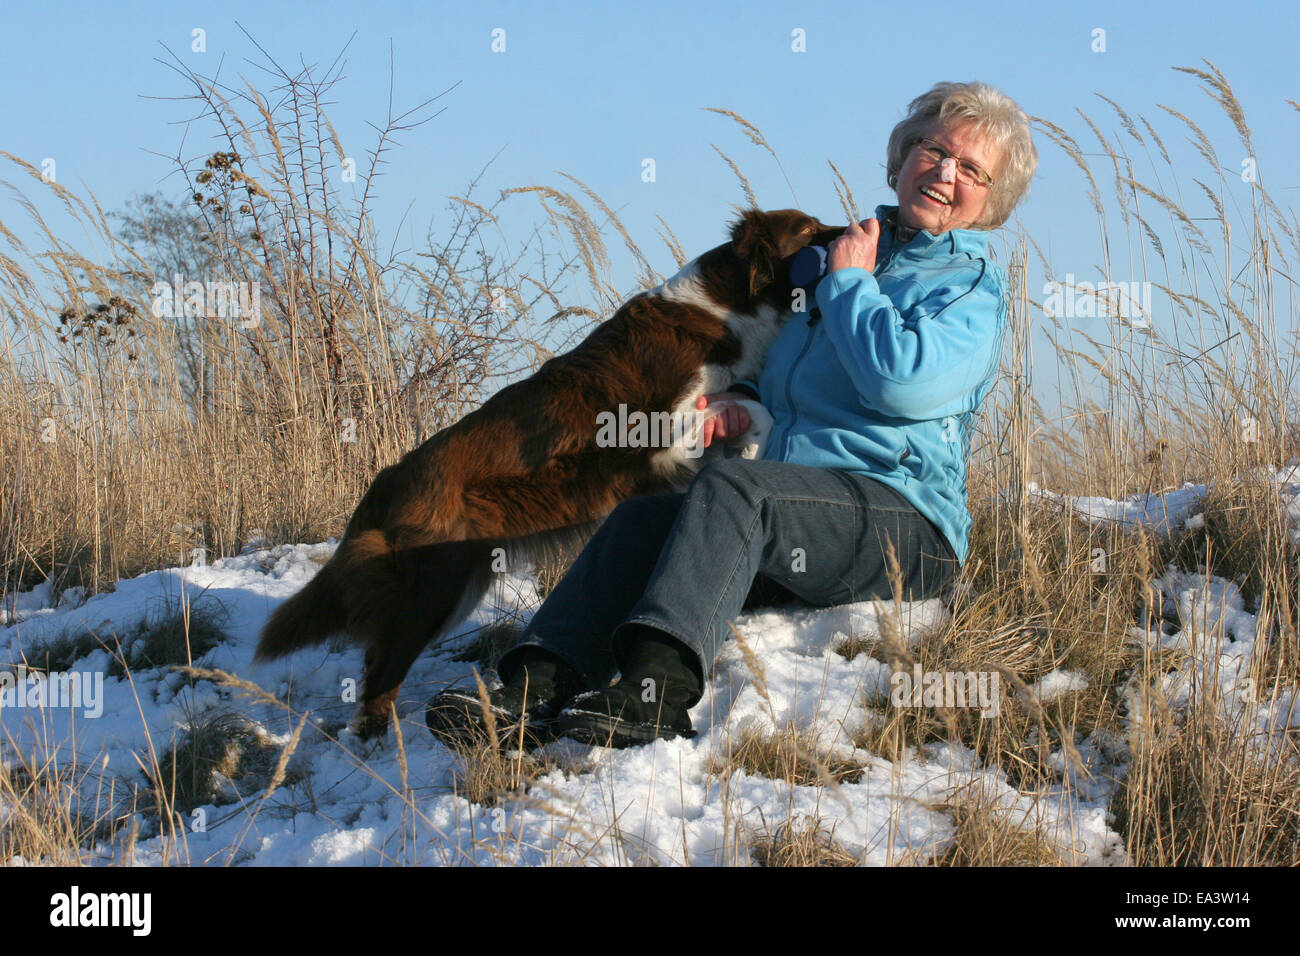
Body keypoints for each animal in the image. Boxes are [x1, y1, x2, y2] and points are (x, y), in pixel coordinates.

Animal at [253, 205, 842, 738]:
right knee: (380, 673)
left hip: (456, 584)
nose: (854, 229)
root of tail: (385, 482)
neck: (730, 305)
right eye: (809, 229)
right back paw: (387, 744)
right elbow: (749, 412)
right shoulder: (653, 432)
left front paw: (754, 451)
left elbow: (754, 409)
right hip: (433, 590)